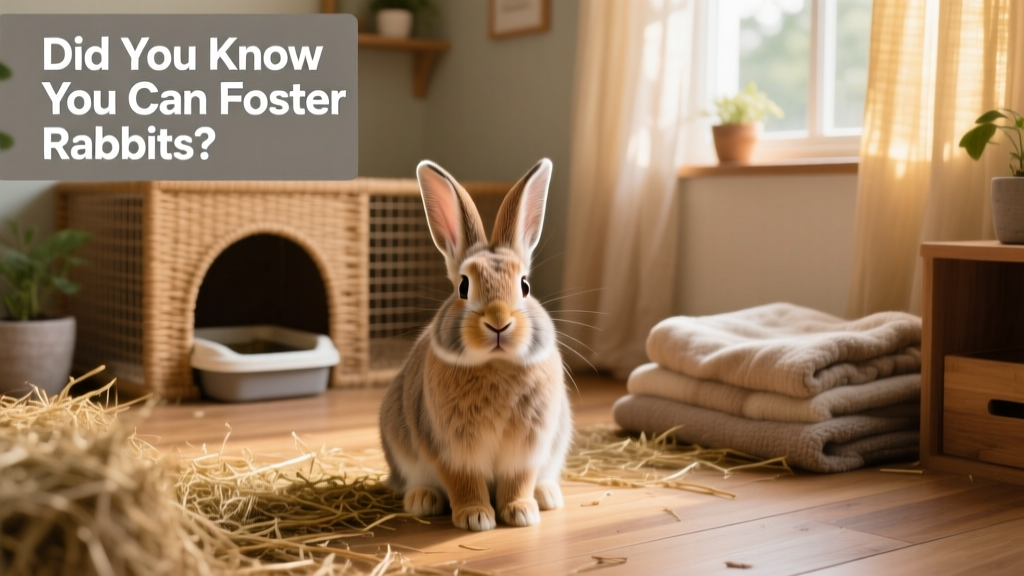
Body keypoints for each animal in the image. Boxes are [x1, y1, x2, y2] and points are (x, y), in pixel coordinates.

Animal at [379, 158, 572, 532]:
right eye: (463, 286)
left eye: (524, 285)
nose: (498, 321)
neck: (495, 365)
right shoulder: (451, 451)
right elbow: (463, 482)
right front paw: (476, 518)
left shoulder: (527, 449)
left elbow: (519, 480)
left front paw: (521, 513)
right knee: (413, 482)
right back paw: (423, 500)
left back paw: (546, 496)